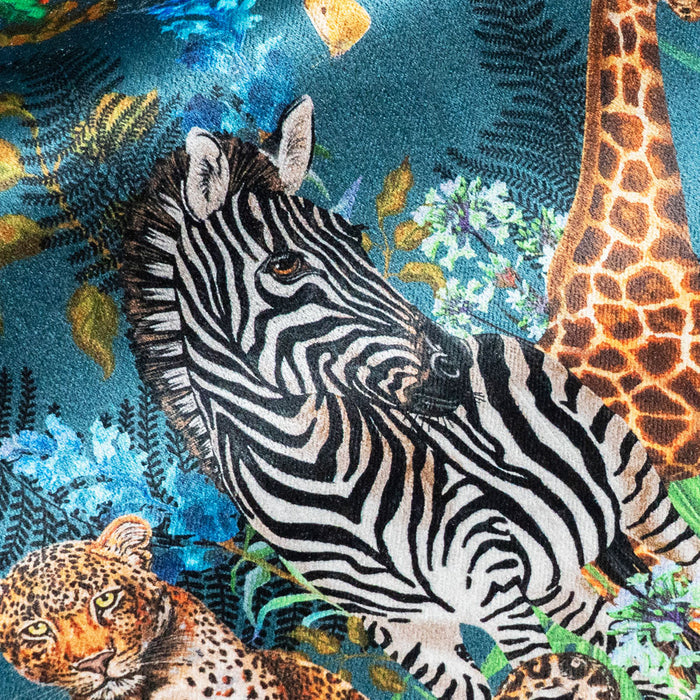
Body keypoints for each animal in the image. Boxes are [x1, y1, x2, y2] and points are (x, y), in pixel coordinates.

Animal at [123, 95, 700, 700]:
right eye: (284, 265)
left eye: (355, 236)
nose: (454, 365)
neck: (324, 480)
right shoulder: (416, 640)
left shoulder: (495, 586)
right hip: (557, 571)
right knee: (637, 641)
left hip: (638, 495)